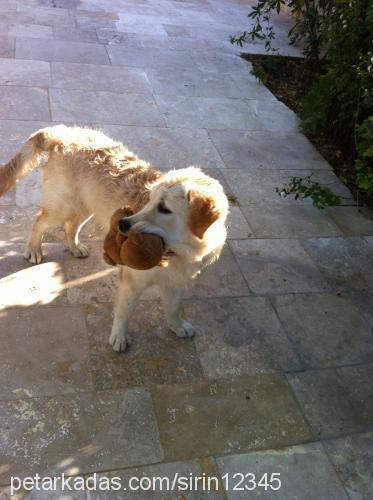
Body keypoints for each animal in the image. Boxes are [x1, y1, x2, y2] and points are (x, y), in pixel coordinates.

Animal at [0, 125, 228, 352]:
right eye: (150, 200)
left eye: (164, 208)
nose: (122, 224)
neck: (179, 252)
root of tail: (63, 133)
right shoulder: (132, 280)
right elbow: (124, 311)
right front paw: (119, 336)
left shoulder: (176, 281)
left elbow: (172, 308)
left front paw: (177, 326)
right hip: (63, 206)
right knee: (39, 222)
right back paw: (34, 249)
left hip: (86, 204)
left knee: (70, 225)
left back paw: (75, 247)